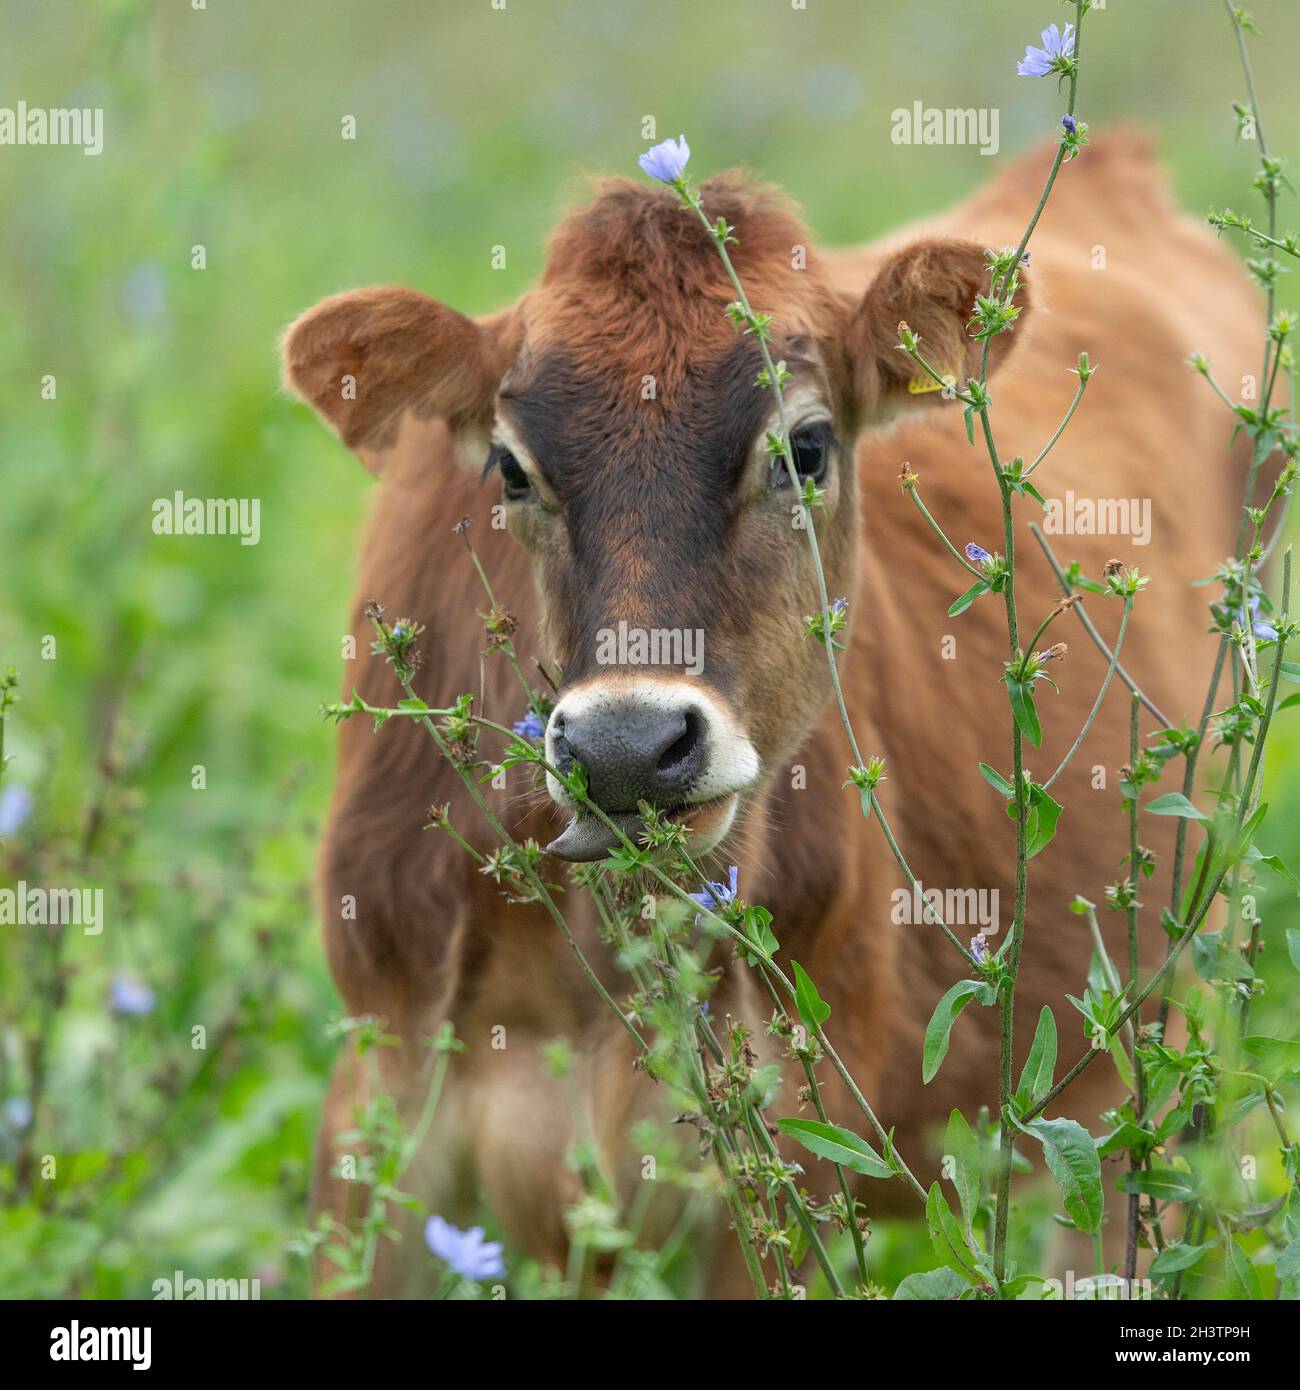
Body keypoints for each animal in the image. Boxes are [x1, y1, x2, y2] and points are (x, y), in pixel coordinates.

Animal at [282, 130, 1262, 1289]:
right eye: (509, 467)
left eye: (805, 446)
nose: (627, 747)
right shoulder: (376, 1100)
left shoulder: (794, 1143)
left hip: (1134, 1071)